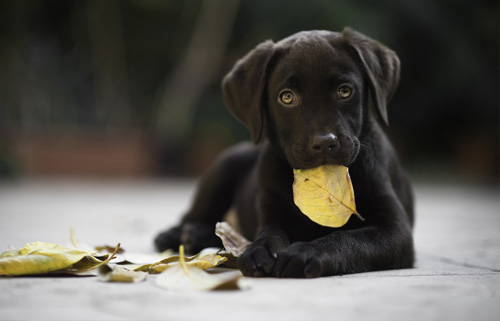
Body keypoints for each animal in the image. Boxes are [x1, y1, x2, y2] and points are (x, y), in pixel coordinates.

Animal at [155, 27, 414, 278]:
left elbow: (348, 239)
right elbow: (269, 233)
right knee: (192, 217)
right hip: (225, 165)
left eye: (345, 91)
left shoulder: (395, 231)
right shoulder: (272, 209)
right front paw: (259, 250)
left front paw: (306, 252)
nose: (324, 143)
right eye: (287, 97)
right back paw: (176, 235)